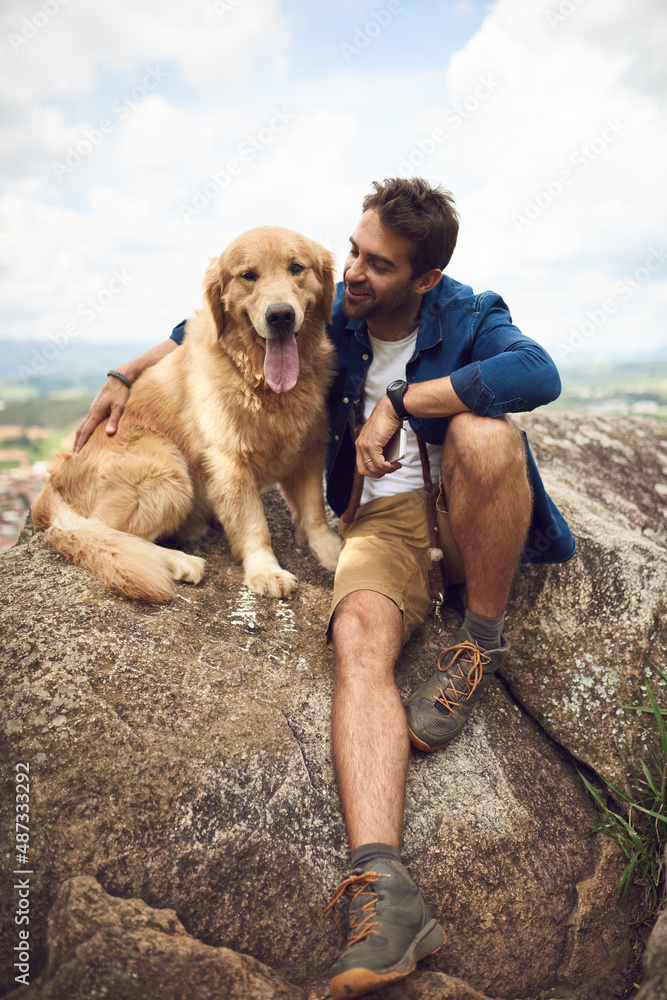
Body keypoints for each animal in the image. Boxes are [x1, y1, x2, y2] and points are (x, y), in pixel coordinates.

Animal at [31, 227, 344, 600]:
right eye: (248, 275)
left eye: (296, 267)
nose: (280, 315)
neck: (258, 381)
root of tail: (54, 480)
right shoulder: (228, 461)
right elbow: (254, 523)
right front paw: (266, 570)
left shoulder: (309, 447)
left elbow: (314, 511)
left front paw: (332, 551)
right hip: (167, 472)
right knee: (101, 533)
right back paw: (179, 561)